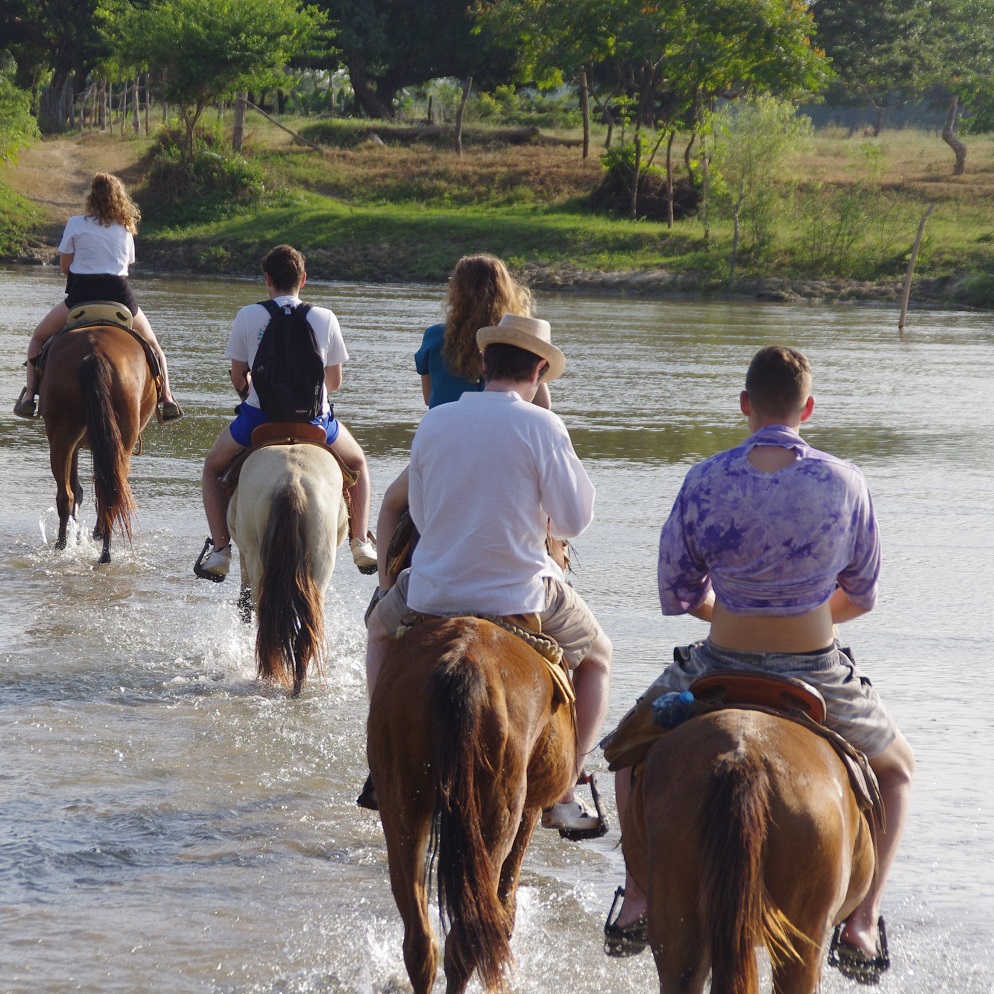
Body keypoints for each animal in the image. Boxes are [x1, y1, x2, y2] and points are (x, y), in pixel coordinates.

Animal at [38, 322, 157, 560]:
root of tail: (95, 353)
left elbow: (77, 490)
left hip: (62, 436)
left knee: (68, 495)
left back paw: (66, 546)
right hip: (121, 442)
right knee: (106, 493)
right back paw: (100, 552)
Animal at [227, 438, 346, 692]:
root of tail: (291, 482)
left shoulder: (244, 556)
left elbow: (244, 603)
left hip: (257, 560)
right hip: (319, 567)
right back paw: (295, 684)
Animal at [368, 616, 576, 988]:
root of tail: (464, 665)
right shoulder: (530, 809)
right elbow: (506, 901)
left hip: (401, 808)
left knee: (420, 942)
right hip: (497, 816)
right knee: (466, 941)